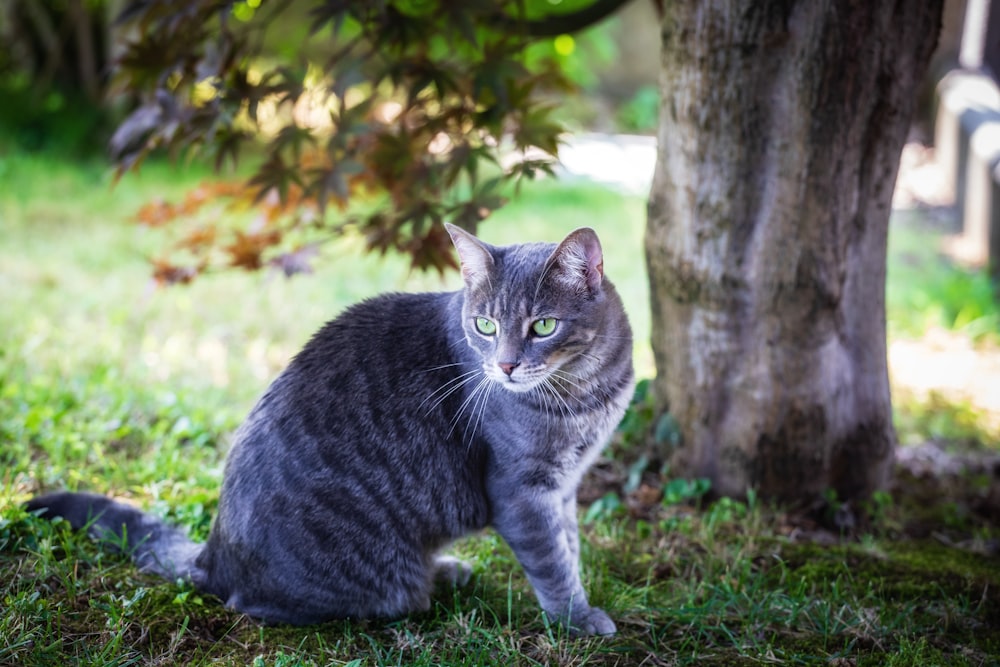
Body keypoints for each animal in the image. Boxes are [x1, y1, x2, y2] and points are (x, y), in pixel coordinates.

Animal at [29, 224, 632, 636]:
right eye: (484, 325)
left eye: (543, 326)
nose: (504, 366)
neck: (588, 392)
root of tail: (212, 555)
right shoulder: (521, 491)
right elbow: (551, 561)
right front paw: (577, 618)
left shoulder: (564, 485)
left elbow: (569, 545)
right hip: (370, 575)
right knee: (266, 604)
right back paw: (431, 584)